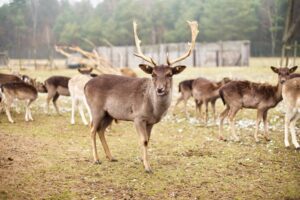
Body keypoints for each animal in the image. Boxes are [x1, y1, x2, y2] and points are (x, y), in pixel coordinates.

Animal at [83, 20, 198, 173]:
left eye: (170, 74)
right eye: (153, 74)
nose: (160, 89)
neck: (154, 110)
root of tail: (86, 85)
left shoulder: (150, 122)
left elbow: (148, 140)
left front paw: (142, 160)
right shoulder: (137, 117)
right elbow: (143, 140)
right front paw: (147, 167)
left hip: (109, 114)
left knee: (101, 130)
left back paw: (111, 157)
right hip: (96, 108)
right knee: (92, 129)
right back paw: (96, 159)